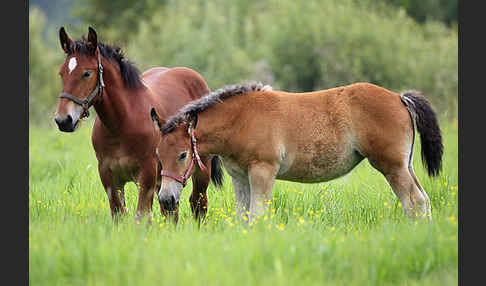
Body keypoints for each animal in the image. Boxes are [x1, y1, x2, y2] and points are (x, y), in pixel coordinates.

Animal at [54, 26, 223, 223]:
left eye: (87, 73)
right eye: (61, 73)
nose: (63, 120)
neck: (121, 124)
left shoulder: (147, 173)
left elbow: (142, 217)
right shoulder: (108, 175)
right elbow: (118, 214)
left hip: (200, 168)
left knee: (197, 202)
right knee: (171, 210)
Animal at [152, 80, 444, 221]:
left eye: (183, 155)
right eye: (157, 155)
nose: (165, 199)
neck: (241, 119)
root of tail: (400, 97)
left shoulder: (263, 170)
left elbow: (258, 215)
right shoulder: (240, 177)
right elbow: (243, 216)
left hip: (392, 166)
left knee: (415, 202)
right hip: (405, 165)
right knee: (423, 201)